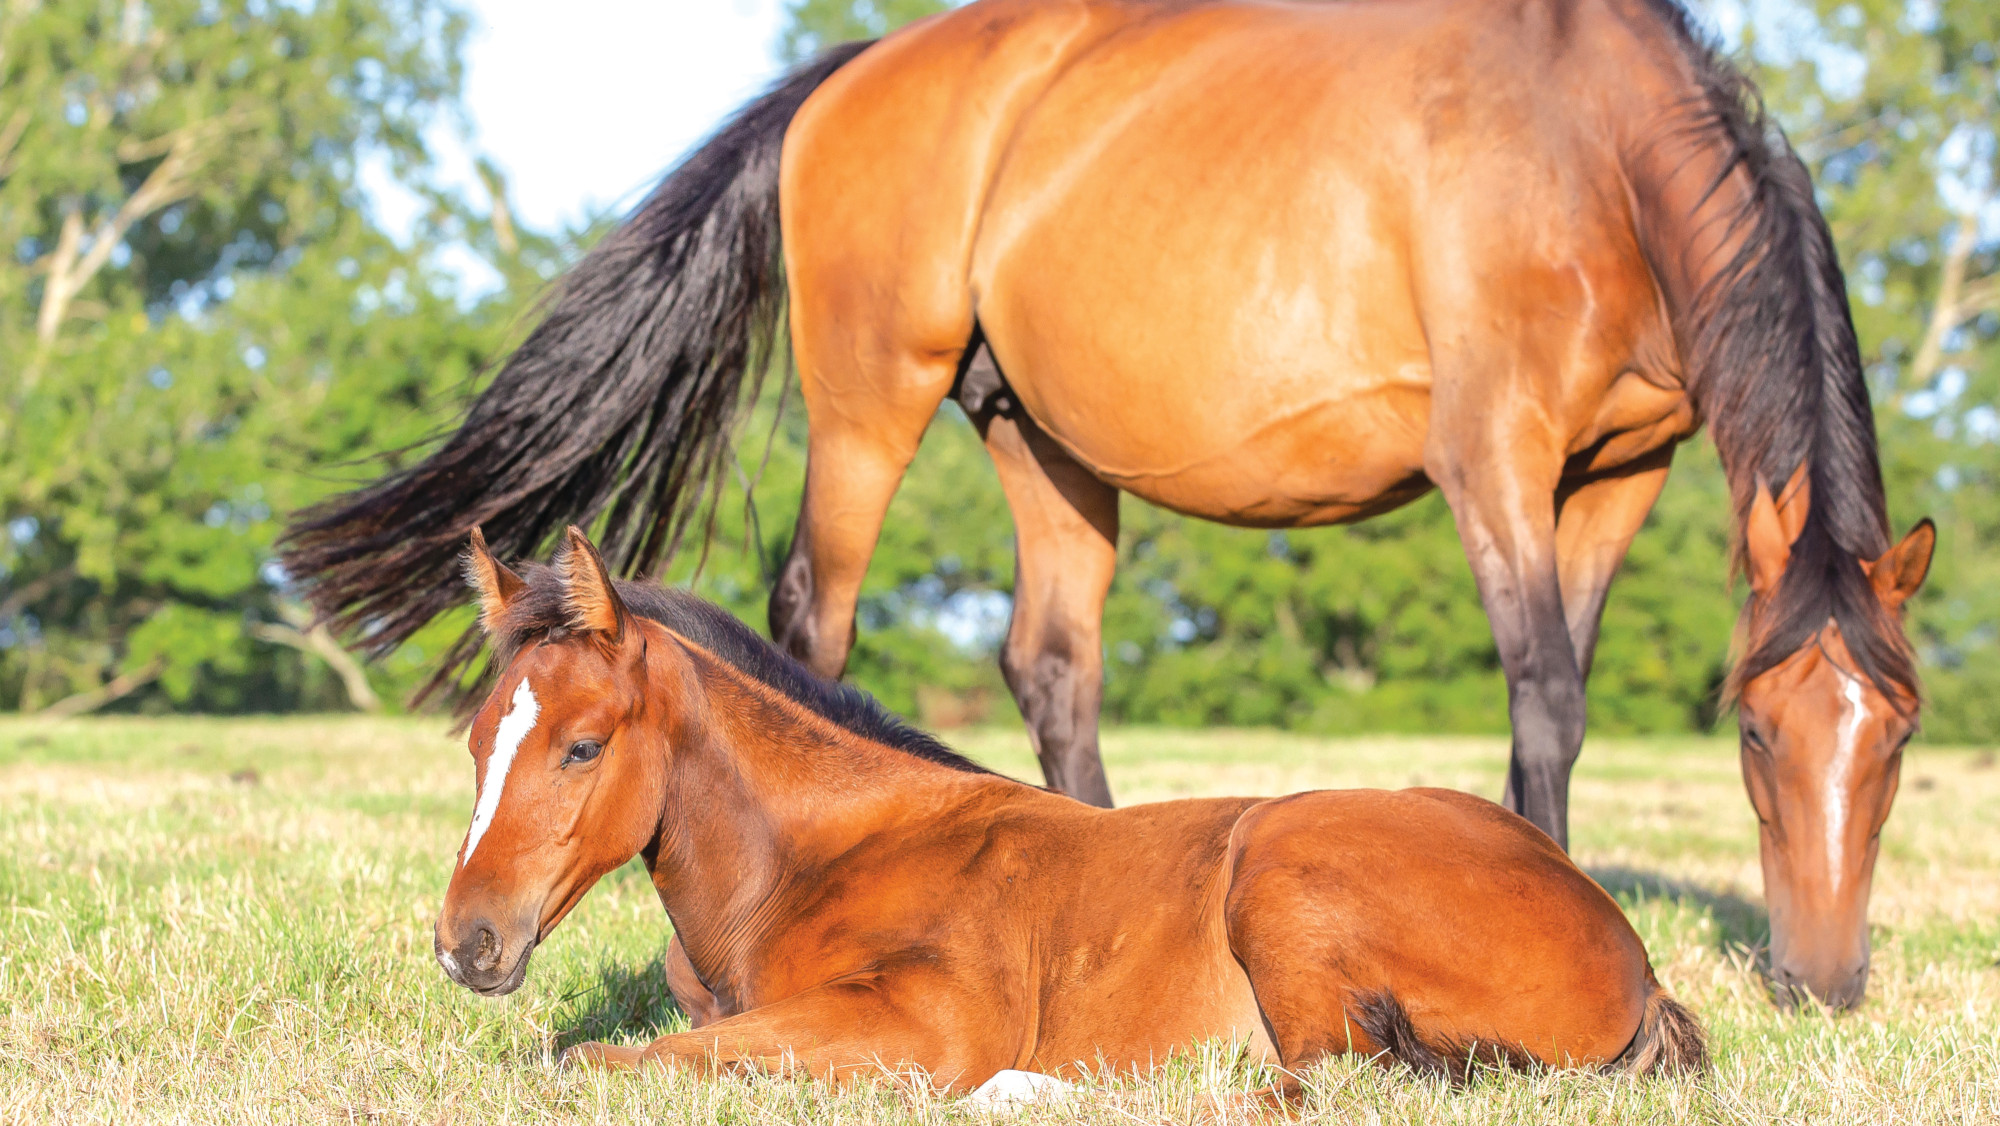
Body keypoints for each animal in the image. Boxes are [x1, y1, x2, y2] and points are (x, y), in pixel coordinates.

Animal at [284, 0, 1935, 1009]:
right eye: (1751, 734)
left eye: (1900, 738)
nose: (1826, 977)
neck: (1581, 145)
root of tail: (855, 72)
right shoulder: (1496, 455)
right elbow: (1542, 689)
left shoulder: (1619, 473)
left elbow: (1569, 686)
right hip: (873, 399)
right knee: (816, 615)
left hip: (1040, 441)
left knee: (1051, 663)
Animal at [433, 526, 1706, 1096]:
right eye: (476, 739)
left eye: (582, 745)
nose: (466, 943)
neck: (802, 867)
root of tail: (1627, 947)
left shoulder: (936, 1018)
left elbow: (616, 1055)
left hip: (1280, 866)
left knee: (1315, 1085)